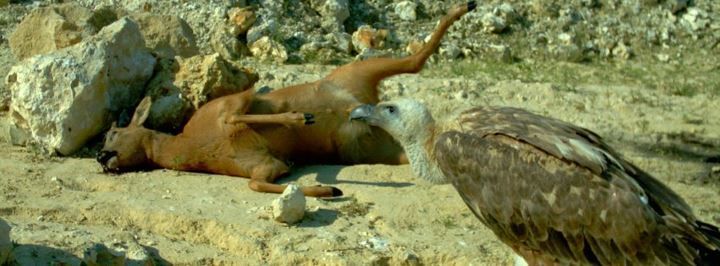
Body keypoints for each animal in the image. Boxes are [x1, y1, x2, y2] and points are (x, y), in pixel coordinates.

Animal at [97, 1, 478, 197]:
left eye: (113, 132)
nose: (101, 157)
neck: (189, 146)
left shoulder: (232, 102)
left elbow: (241, 113)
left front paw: (299, 117)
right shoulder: (267, 167)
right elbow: (260, 183)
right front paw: (328, 190)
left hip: (358, 72)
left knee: (416, 61)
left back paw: (464, 7)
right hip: (369, 147)